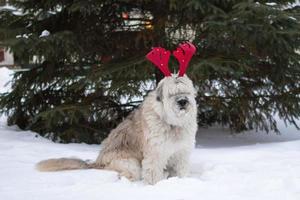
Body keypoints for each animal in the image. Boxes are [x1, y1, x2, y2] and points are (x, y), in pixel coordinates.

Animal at [36, 41, 198, 184]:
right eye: (171, 93)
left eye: (186, 92)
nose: (182, 101)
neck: (172, 123)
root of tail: (97, 162)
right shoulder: (155, 155)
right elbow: (153, 175)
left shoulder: (181, 153)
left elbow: (181, 171)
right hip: (130, 163)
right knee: (124, 174)